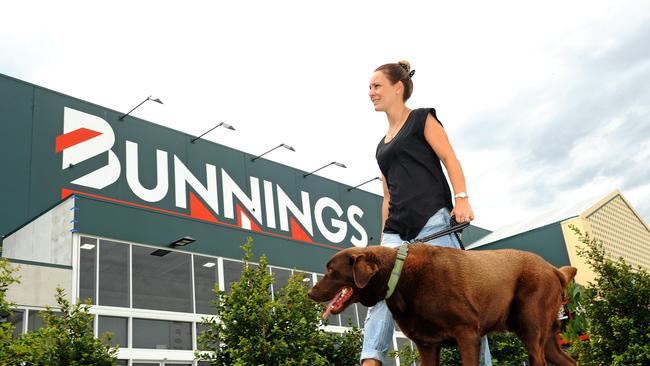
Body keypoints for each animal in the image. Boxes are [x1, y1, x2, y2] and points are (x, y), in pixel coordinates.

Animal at [308, 243, 576, 366]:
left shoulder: (468, 335)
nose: (310, 292)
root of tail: (554, 269)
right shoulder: (427, 345)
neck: (400, 275)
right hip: (545, 337)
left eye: (331, 270)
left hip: (531, 329)